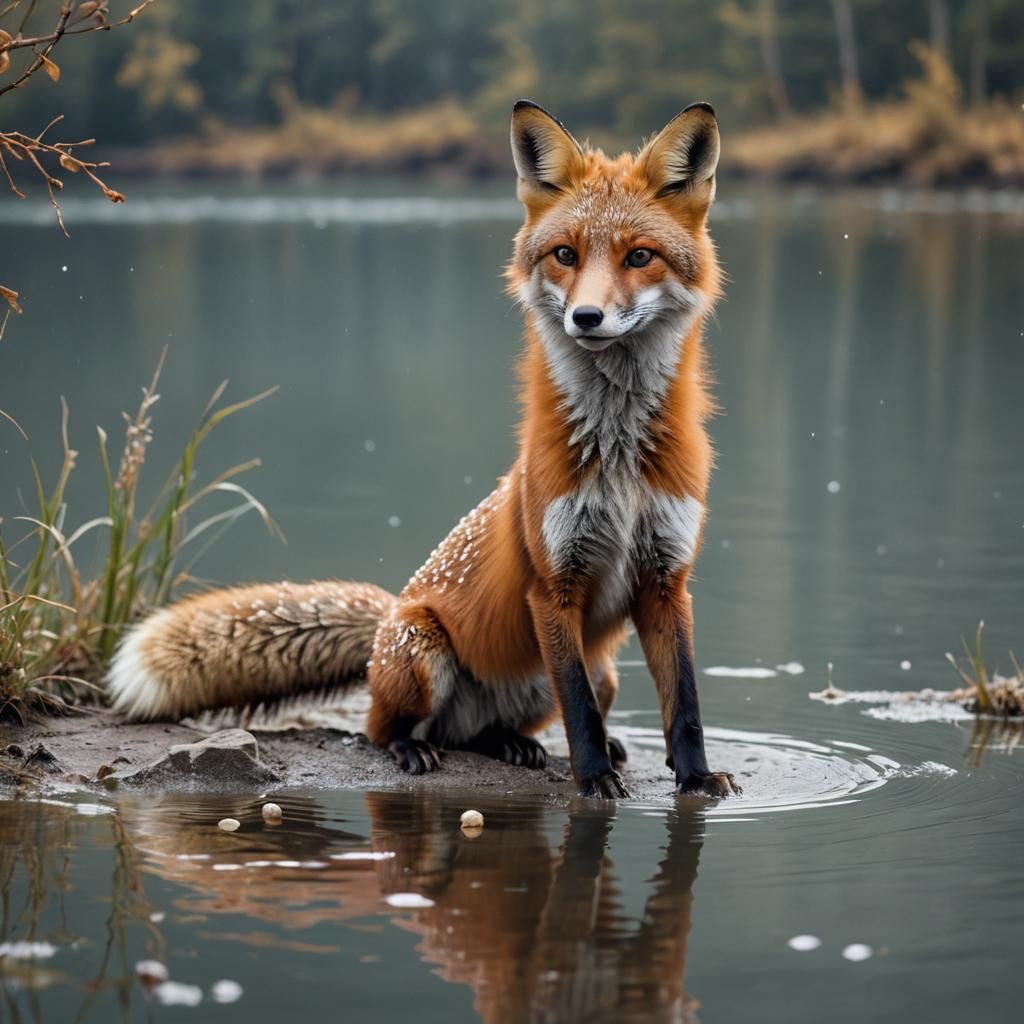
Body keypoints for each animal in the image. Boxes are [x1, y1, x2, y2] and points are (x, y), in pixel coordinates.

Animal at [108, 99, 738, 800]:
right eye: (566, 254)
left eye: (640, 256)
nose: (587, 318)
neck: (619, 457)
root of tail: (390, 613)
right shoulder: (554, 585)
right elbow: (578, 711)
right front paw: (594, 777)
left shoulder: (666, 579)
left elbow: (685, 703)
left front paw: (696, 777)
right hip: (423, 650)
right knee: (385, 729)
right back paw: (416, 748)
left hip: (594, 673)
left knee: (491, 730)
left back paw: (516, 743)